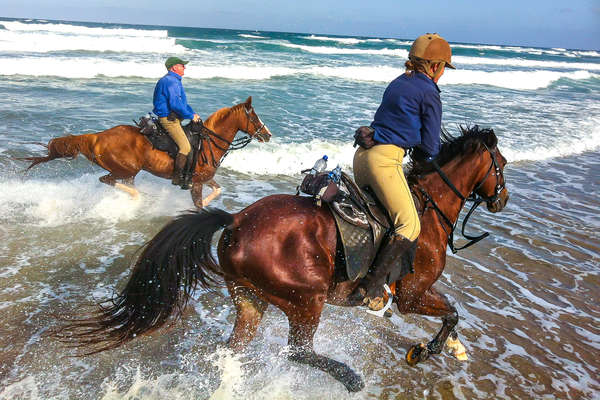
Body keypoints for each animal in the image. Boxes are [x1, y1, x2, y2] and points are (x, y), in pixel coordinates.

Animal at [20, 97, 270, 208]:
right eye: (254, 117)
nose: (267, 134)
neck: (208, 142)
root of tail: (97, 136)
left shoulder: (206, 179)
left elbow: (217, 191)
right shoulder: (197, 183)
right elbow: (200, 205)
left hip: (127, 172)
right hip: (126, 169)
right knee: (108, 180)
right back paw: (138, 198)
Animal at [58, 126, 508, 392]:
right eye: (501, 166)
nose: (501, 200)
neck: (429, 209)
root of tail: (236, 220)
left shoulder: (414, 295)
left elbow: (452, 314)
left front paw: (452, 349)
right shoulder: (413, 295)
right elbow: (451, 312)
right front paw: (429, 350)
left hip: (249, 298)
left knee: (235, 348)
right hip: (306, 299)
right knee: (297, 352)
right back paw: (349, 378)